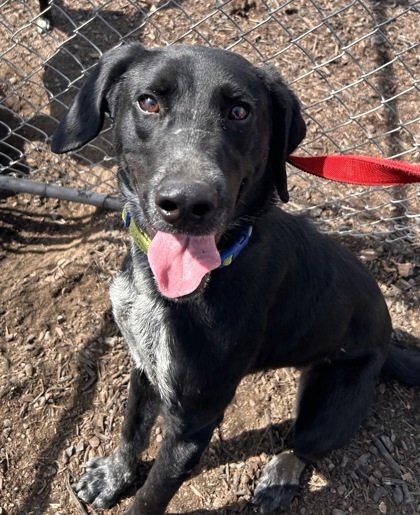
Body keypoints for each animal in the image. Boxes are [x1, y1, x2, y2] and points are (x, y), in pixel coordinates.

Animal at [50, 43, 418, 512]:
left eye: (240, 112)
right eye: (148, 102)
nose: (187, 204)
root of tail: (388, 341)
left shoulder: (194, 422)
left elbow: (151, 496)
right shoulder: (146, 366)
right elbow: (131, 430)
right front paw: (113, 477)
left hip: (330, 405)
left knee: (304, 447)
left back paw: (279, 477)